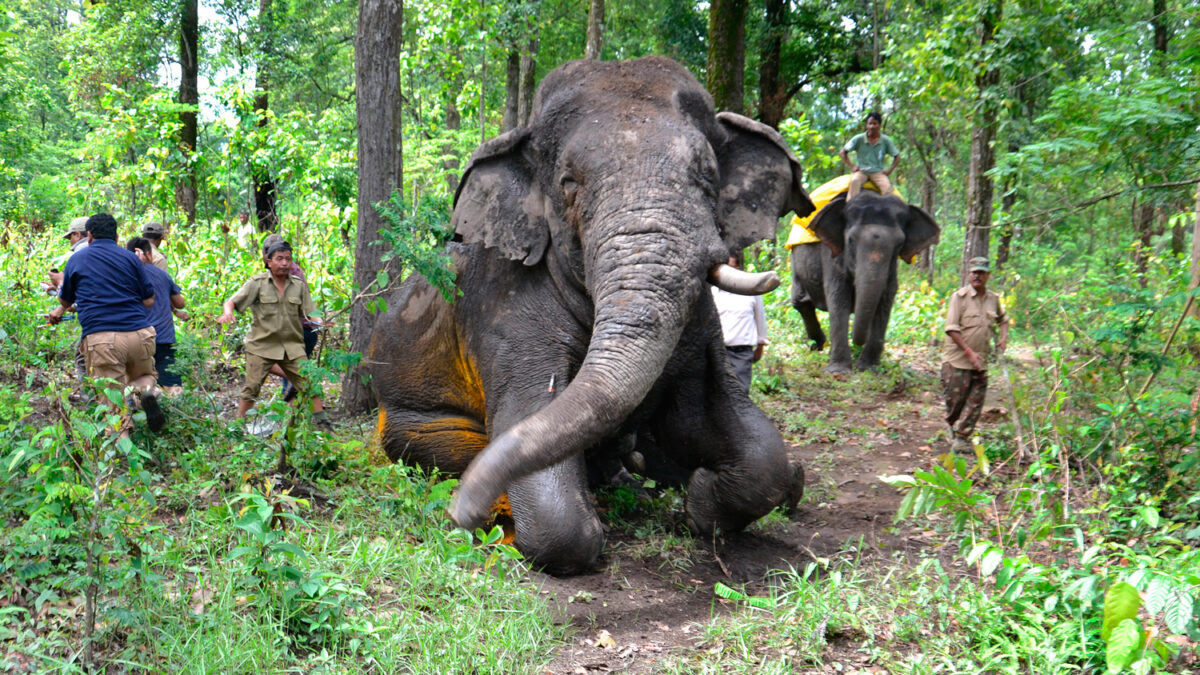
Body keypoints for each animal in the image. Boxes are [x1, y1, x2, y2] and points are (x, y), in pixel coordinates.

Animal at [369, 57, 811, 571]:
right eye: (569, 184)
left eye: (707, 175)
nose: (458, 514)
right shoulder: (506, 319)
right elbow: (555, 511)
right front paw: (508, 529)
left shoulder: (702, 326)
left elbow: (746, 446)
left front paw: (699, 503)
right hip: (409, 420)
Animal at [792, 190, 940, 372]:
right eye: (851, 240)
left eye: (899, 244)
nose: (857, 342)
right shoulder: (831, 253)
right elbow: (838, 295)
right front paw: (839, 370)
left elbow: (887, 296)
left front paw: (868, 368)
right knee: (801, 302)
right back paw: (817, 346)